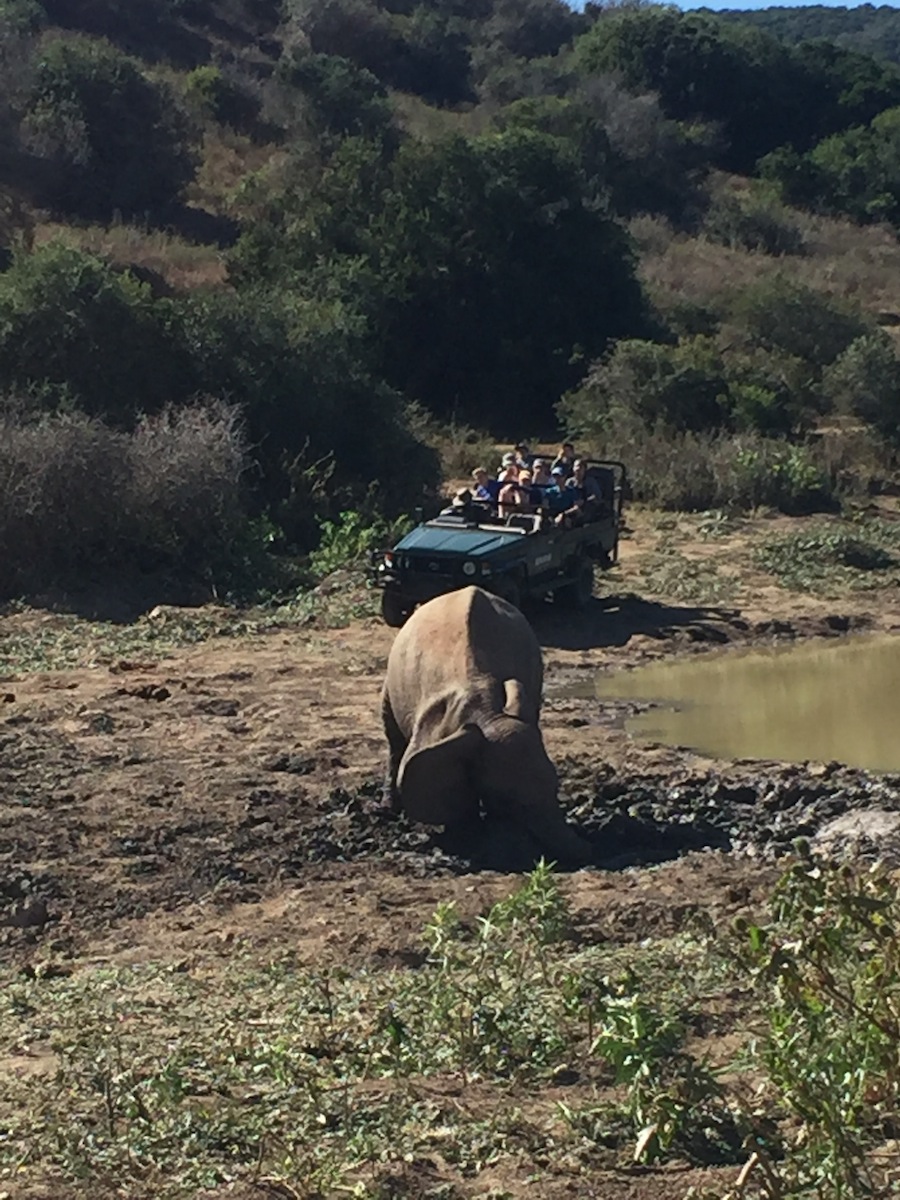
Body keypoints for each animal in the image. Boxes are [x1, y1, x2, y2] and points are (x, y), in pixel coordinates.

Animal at [379, 580, 592, 864]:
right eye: (506, 799)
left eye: (556, 782)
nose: (590, 853)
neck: (487, 713)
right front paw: (469, 839)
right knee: (393, 738)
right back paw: (388, 808)